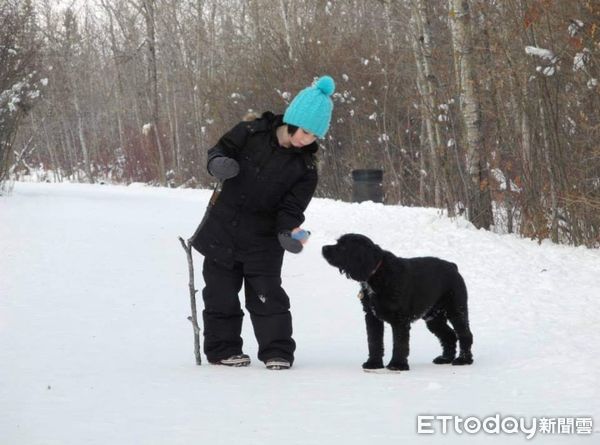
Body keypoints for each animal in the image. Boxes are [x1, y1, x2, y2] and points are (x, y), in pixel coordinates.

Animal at [324, 234, 474, 370]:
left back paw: (463, 360)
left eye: (343, 246)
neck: (377, 273)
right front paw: (373, 364)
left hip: (456, 310)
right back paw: (445, 358)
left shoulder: (399, 320)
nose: (324, 248)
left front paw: (397, 365)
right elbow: (374, 342)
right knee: (449, 336)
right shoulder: (372, 317)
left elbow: (400, 343)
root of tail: (453, 266)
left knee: (465, 334)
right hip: (433, 317)